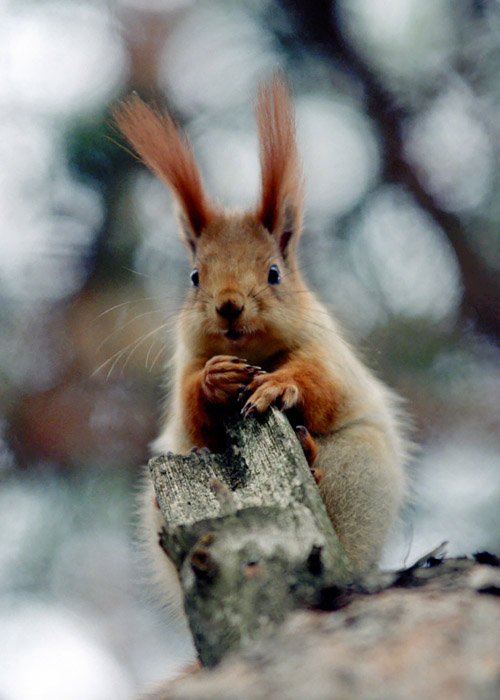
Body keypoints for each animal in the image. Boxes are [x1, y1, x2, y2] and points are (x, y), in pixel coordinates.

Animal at [114, 74, 410, 604]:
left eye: (274, 273)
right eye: (195, 276)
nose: (229, 304)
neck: (255, 352)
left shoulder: (329, 355)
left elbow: (321, 386)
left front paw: (277, 385)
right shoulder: (185, 369)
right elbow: (193, 419)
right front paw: (216, 380)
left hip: (359, 468)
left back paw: (310, 457)